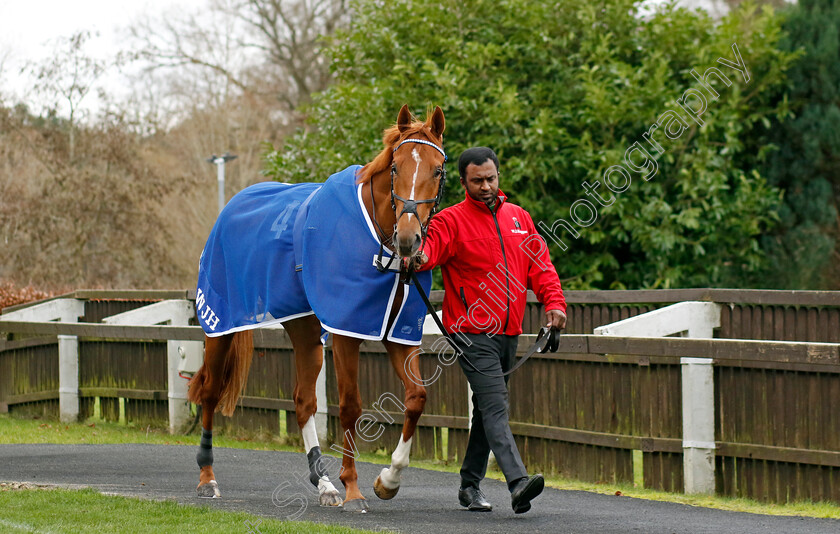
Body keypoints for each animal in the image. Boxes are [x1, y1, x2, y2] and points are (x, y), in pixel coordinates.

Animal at [185, 105, 446, 516]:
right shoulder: (346, 330)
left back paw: (323, 483)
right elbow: (352, 405)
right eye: (395, 167)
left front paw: (388, 480)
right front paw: (354, 489)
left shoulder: (397, 332)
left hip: (304, 328)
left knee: (304, 400)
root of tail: (231, 206)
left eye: (436, 169)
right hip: (222, 323)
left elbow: (417, 399)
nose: (409, 239)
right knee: (210, 391)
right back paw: (207, 479)